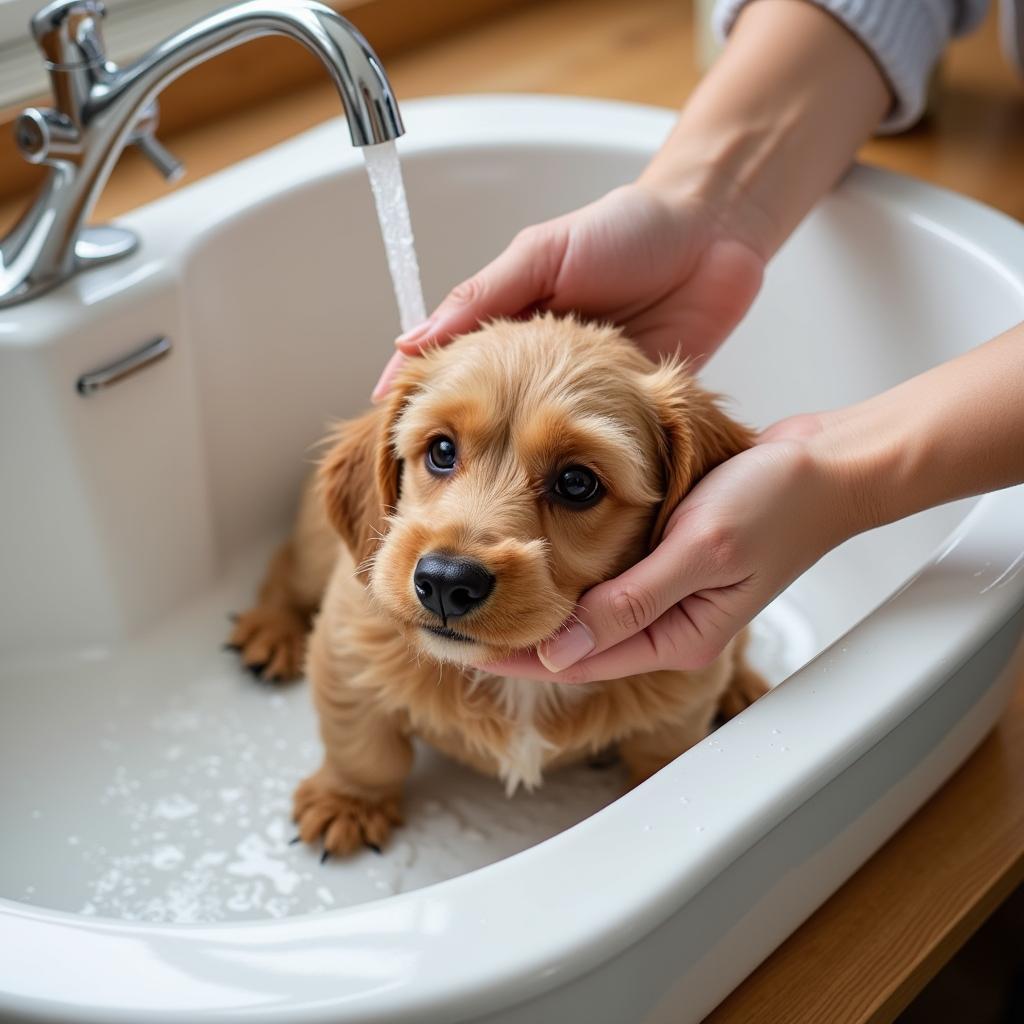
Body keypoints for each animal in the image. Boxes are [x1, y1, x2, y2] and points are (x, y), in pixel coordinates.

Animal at [226, 313, 770, 856]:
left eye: (577, 483)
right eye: (442, 450)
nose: (445, 582)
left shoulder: (685, 689)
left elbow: (661, 754)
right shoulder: (347, 649)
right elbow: (363, 745)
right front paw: (348, 802)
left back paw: (742, 686)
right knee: (284, 569)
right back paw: (270, 631)